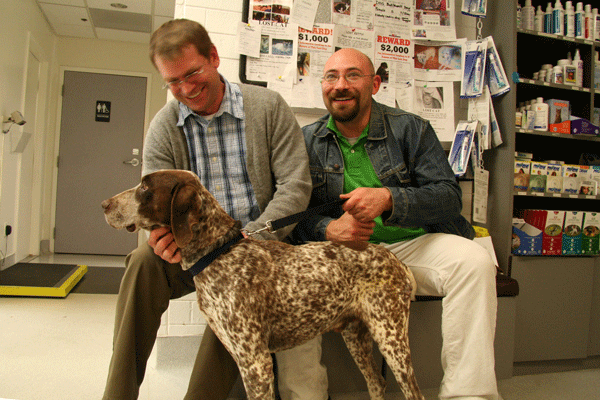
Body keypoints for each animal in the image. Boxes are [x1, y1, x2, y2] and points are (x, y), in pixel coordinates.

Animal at [101, 169, 424, 400]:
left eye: (145, 188)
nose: (104, 204)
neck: (217, 252)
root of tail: (395, 260)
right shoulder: (239, 354)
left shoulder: (256, 363)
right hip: (356, 335)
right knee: (377, 382)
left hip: (391, 337)